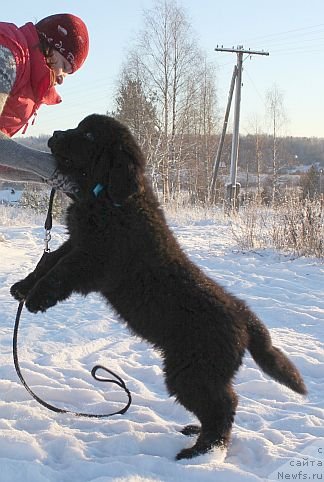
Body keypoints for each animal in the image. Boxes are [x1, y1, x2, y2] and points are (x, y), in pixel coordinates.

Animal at [10, 115, 308, 462]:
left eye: (89, 134)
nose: (55, 134)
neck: (108, 197)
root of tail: (244, 318)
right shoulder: (77, 242)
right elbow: (48, 262)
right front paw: (22, 287)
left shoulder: (96, 257)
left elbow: (60, 273)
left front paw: (36, 298)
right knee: (222, 403)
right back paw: (198, 435)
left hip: (192, 371)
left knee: (224, 406)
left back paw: (201, 451)